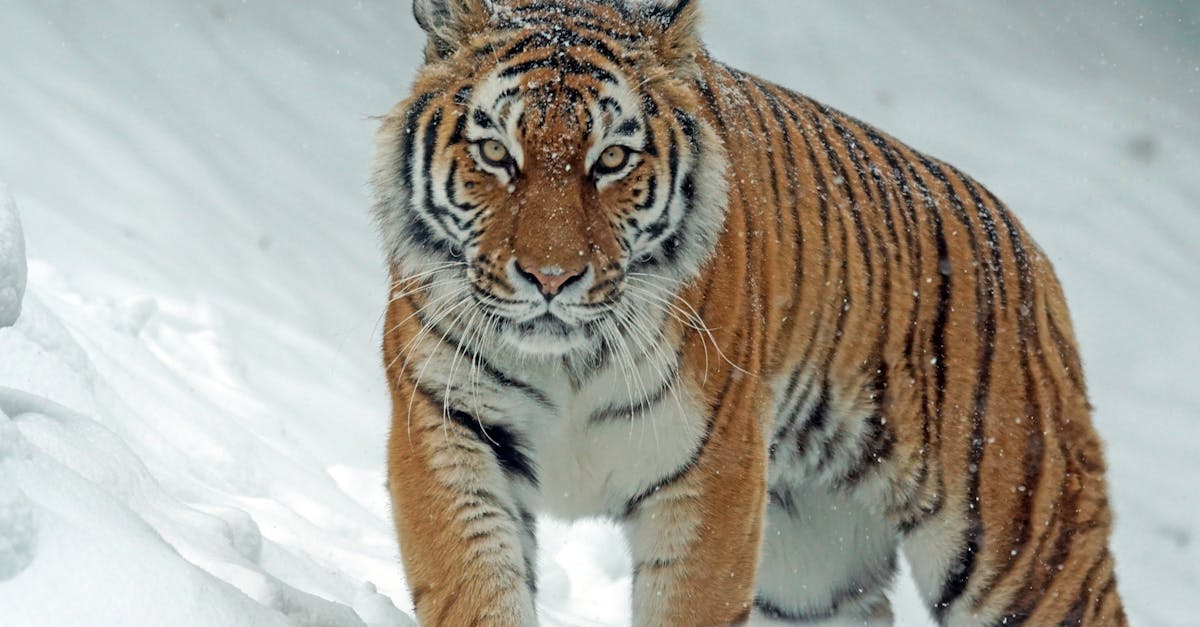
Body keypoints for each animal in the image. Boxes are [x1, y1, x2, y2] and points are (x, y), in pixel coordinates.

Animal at [370, 0, 1126, 625]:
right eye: (495, 152)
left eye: (611, 159)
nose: (551, 277)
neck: (568, 362)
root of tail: (1027, 249)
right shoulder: (448, 429)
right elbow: (476, 589)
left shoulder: (713, 475)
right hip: (812, 571)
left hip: (1024, 546)